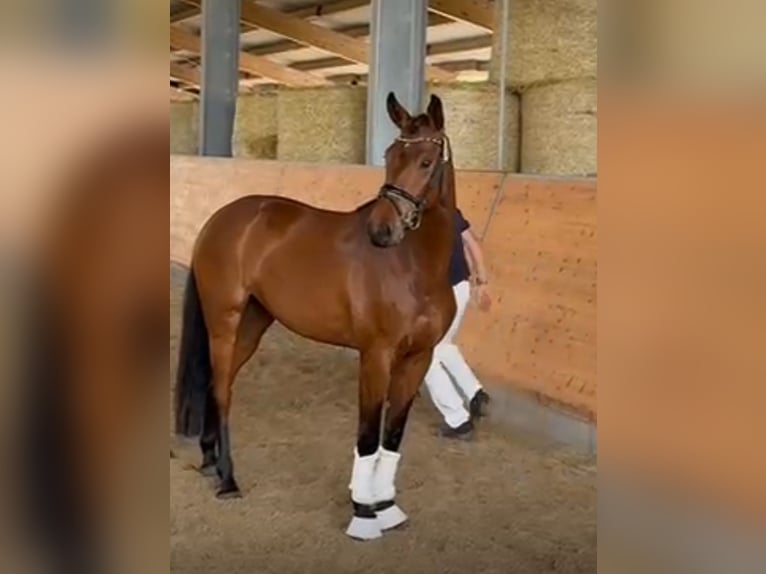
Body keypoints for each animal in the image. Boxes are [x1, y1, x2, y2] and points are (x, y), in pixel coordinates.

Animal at [174, 92, 458, 540]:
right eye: (389, 155)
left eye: (426, 161)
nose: (381, 231)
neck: (414, 267)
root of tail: (222, 218)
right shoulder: (376, 357)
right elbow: (368, 435)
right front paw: (363, 513)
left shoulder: (418, 359)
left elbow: (393, 435)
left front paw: (387, 507)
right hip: (225, 321)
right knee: (221, 392)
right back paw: (228, 479)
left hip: (252, 324)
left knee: (219, 386)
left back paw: (209, 461)